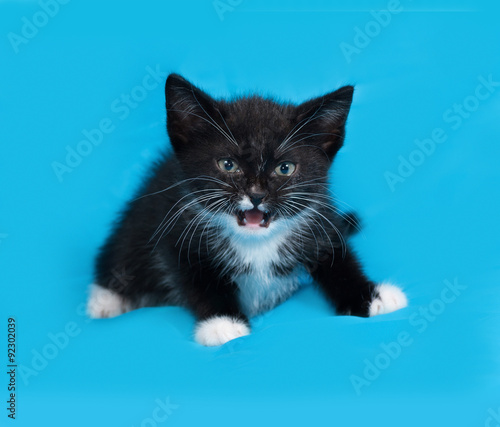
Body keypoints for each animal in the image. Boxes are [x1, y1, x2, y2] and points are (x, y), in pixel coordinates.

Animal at [87, 74, 406, 348]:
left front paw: (372, 297)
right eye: (228, 165)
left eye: (285, 168)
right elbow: (195, 276)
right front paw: (222, 323)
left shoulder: (320, 218)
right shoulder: (175, 225)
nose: (256, 195)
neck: (256, 244)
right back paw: (105, 301)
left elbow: (338, 257)